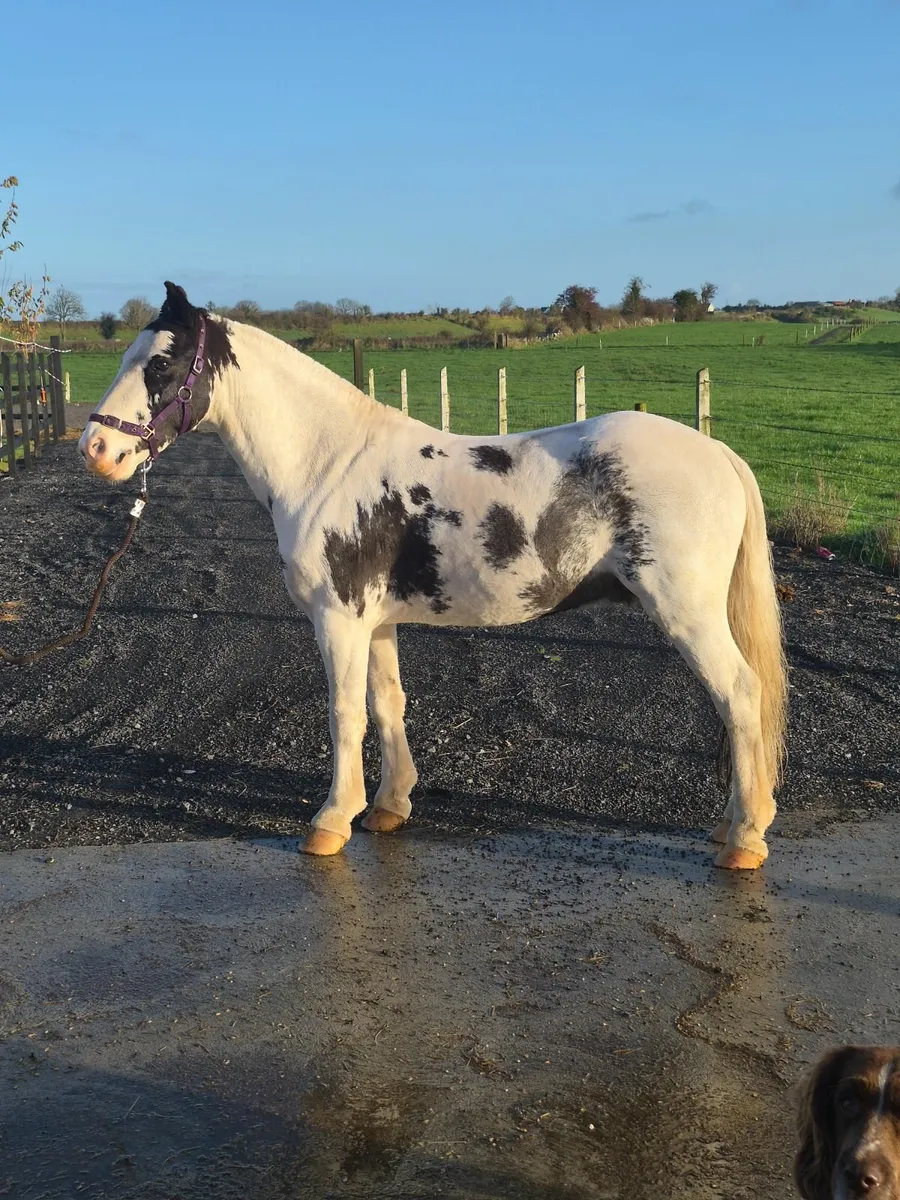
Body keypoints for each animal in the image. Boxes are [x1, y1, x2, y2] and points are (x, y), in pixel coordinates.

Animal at [78, 282, 787, 870]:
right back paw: (732, 826)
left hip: (686, 612)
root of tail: (718, 453)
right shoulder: (375, 622)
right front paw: (389, 807)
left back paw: (746, 839)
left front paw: (331, 821)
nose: (96, 450)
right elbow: (386, 703)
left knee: (740, 695)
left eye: (161, 365)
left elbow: (344, 713)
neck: (327, 464)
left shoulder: (337, 619)